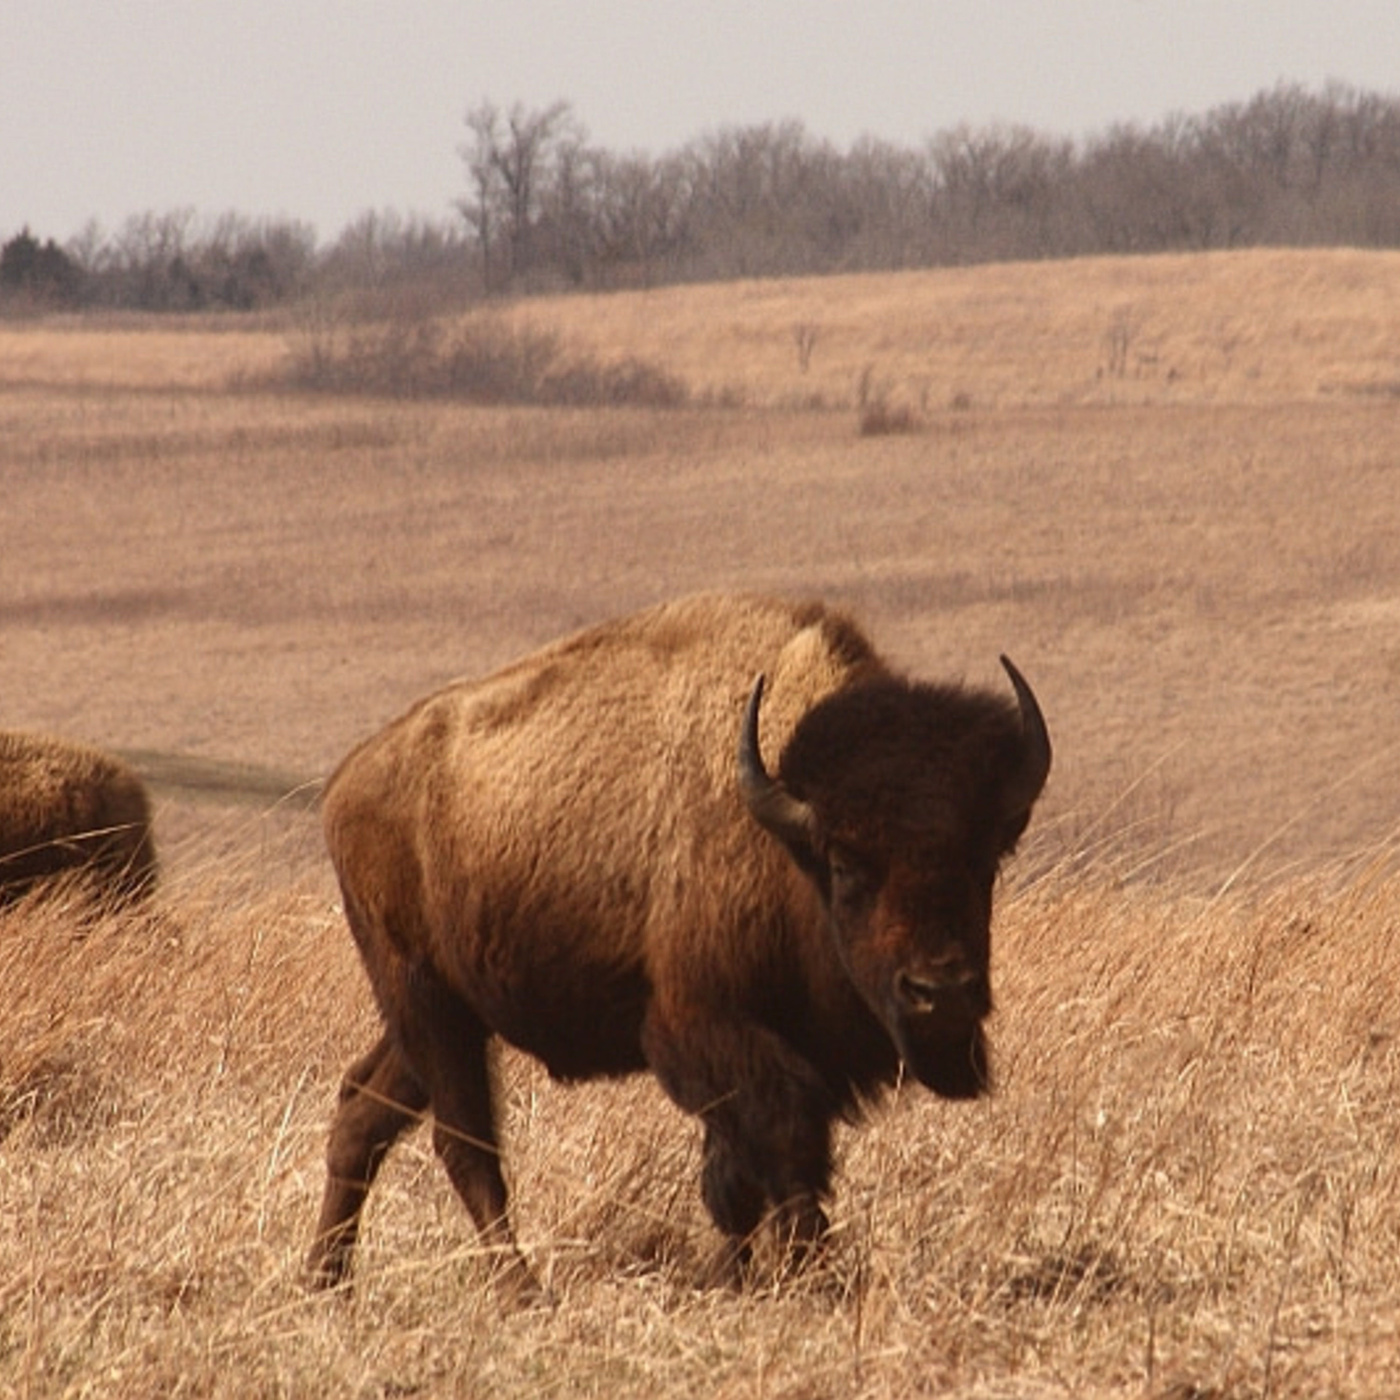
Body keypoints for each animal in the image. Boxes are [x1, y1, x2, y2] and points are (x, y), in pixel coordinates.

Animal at [306, 592, 1050, 1290]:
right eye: (844, 863)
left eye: (988, 856)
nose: (941, 992)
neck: (782, 836)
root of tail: (347, 781)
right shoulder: (700, 1027)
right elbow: (783, 1139)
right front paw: (806, 1269)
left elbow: (739, 1173)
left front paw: (743, 1273)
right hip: (423, 999)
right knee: (465, 1144)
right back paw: (521, 1291)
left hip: (449, 1016)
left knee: (362, 1112)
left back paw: (327, 1283)